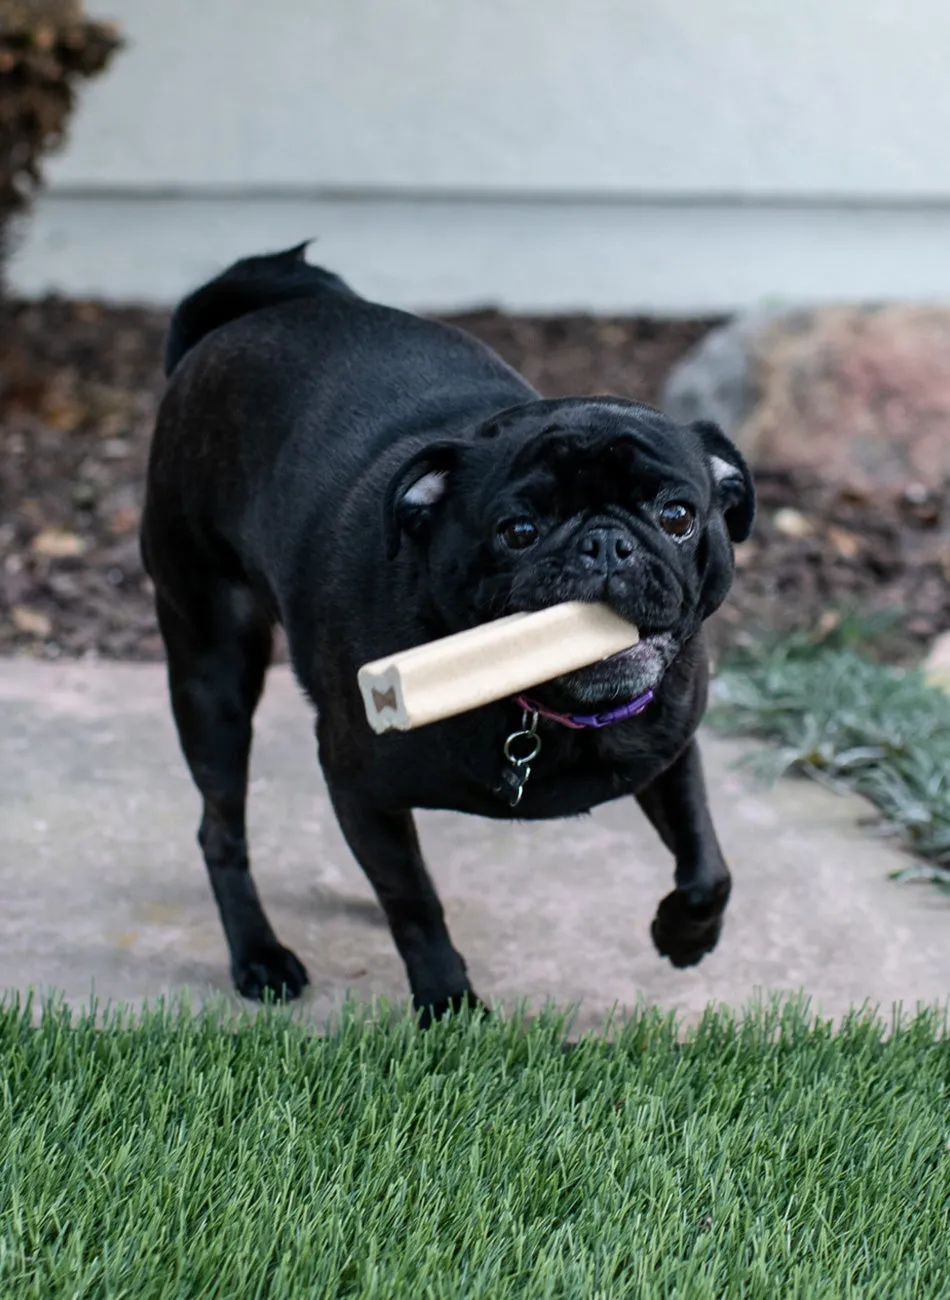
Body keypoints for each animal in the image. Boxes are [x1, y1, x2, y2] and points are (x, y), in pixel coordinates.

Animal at [141, 244, 753, 1024]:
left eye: (677, 515)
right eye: (518, 531)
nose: (606, 545)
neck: (541, 708)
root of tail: (231, 323)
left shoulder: (670, 748)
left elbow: (707, 861)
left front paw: (684, 934)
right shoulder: (358, 778)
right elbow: (413, 903)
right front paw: (447, 1001)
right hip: (212, 669)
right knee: (222, 827)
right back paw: (258, 954)